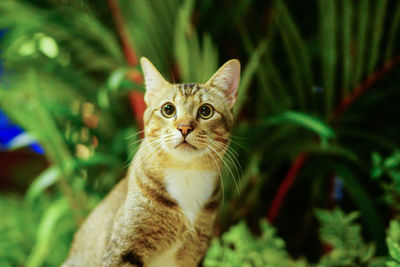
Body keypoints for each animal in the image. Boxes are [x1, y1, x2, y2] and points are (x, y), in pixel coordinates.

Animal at [61, 57, 239, 267]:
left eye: (205, 110)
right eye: (168, 109)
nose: (184, 127)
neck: (186, 174)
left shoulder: (195, 253)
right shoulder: (124, 248)